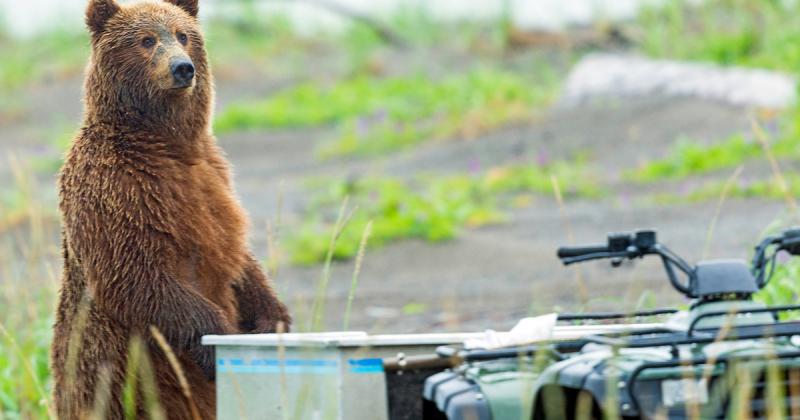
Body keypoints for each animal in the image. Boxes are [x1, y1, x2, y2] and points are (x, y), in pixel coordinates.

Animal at [49, 0, 290, 416]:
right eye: (146, 40)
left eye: (183, 35)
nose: (182, 68)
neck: (165, 141)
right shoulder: (117, 191)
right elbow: (137, 275)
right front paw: (216, 343)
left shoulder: (214, 179)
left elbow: (239, 257)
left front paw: (273, 320)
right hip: (117, 382)